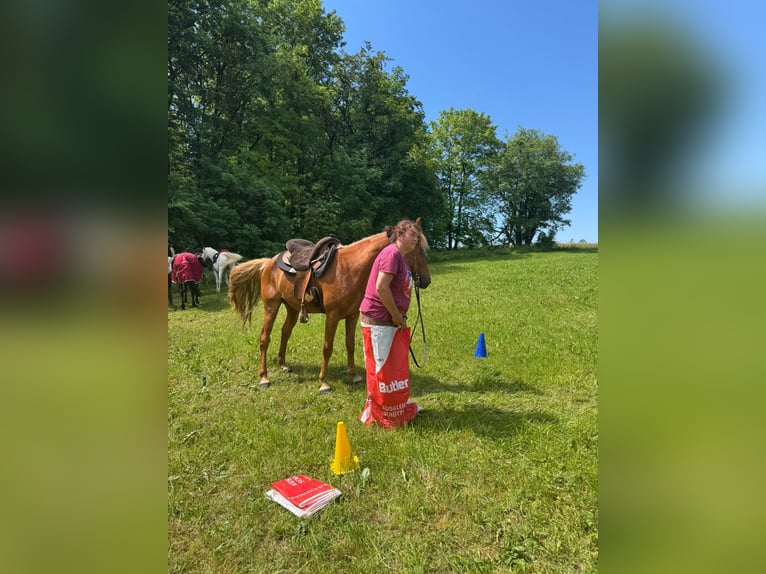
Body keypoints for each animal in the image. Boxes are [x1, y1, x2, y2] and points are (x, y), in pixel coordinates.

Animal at [228, 219, 432, 394]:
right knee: (264, 338)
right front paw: (323, 382)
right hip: (271, 307)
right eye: (416, 246)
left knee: (285, 332)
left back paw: (283, 364)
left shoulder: (352, 315)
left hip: (292, 308)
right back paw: (264, 378)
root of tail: (267, 263)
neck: (350, 268)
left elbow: (350, 343)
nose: (426, 280)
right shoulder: (332, 316)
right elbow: (328, 347)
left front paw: (354, 375)